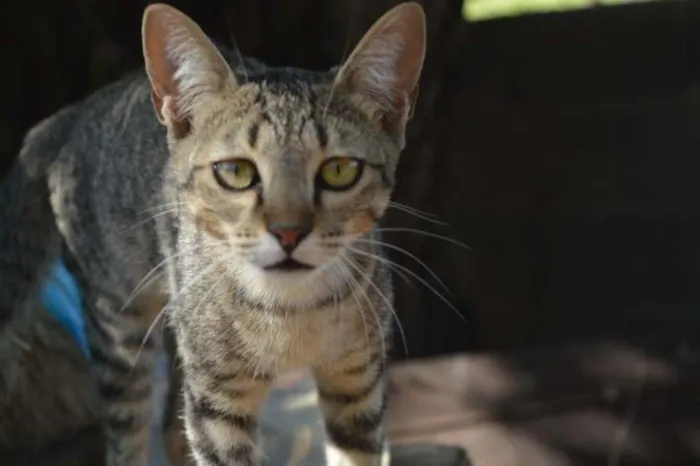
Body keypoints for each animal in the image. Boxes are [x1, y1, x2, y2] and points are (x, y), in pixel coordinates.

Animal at [0, 3, 426, 466]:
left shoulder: (359, 385)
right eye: (235, 172)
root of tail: (76, 113)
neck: (290, 312)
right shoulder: (216, 404)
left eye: (340, 171)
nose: (288, 232)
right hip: (119, 329)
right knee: (128, 433)